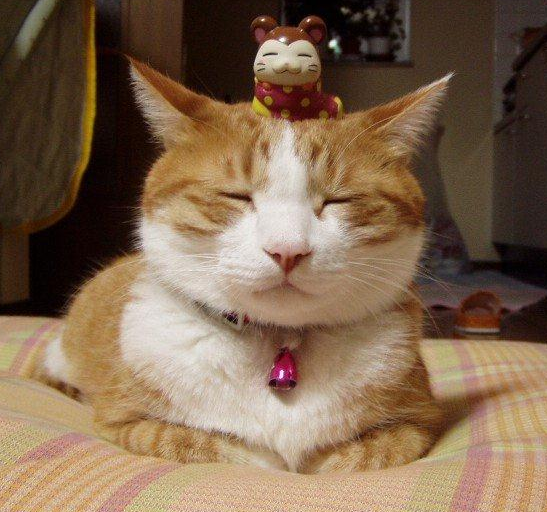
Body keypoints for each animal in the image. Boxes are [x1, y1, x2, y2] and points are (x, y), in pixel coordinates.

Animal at [36, 58, 449, 473]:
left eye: (337, 200)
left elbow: (359, 457)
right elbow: (217, 449)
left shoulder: (418, 423)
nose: (287, 250)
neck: (280, 341)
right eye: (237, 196)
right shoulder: (126, 421)